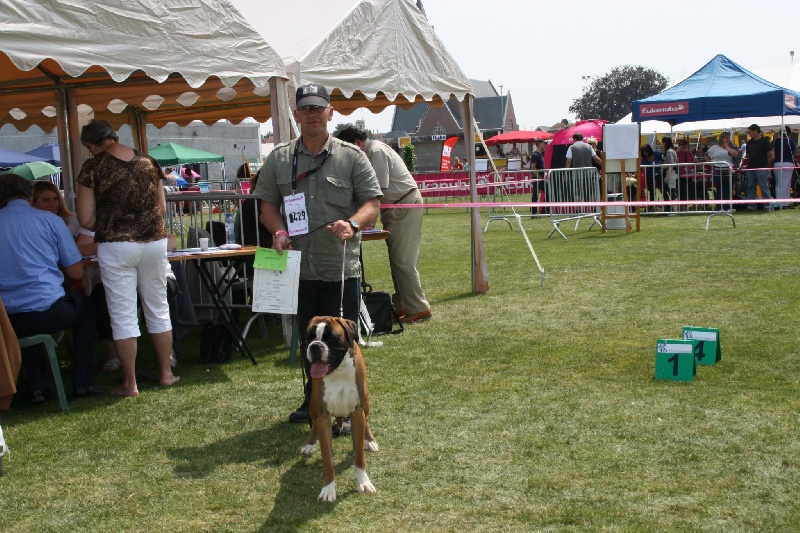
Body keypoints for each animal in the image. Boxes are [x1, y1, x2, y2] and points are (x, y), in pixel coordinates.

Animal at [298, 314, 380, 500]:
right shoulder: (323, 416)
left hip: (366, 404)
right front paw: (328, 488)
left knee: (367, 420)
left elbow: (359, 456)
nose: (315, 346)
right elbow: (327, 458)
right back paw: (309, 444)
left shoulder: (357, 413)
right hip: (312, 405)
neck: (338, 371)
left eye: (331, 338)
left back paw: (370, 440)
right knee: (313, 425)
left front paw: (363, 482)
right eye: (309, 338)